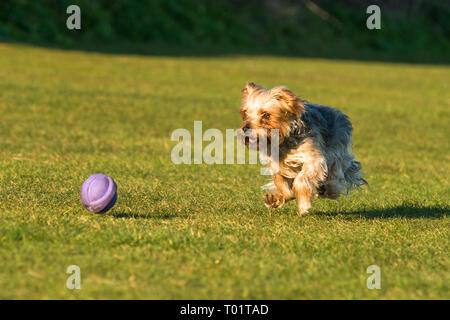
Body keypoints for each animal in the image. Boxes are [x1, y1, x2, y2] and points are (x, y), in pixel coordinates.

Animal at [237, 82, 368, 215]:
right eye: (245, 113)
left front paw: (304, 206)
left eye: (266, 115)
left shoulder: (313, 159)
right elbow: (281, 182)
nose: (245, 128)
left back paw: (328, 190)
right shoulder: (277, 163)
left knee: (335, 175)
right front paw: (279, 197)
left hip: (336, 152)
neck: (284, 139)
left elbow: (301, 180)